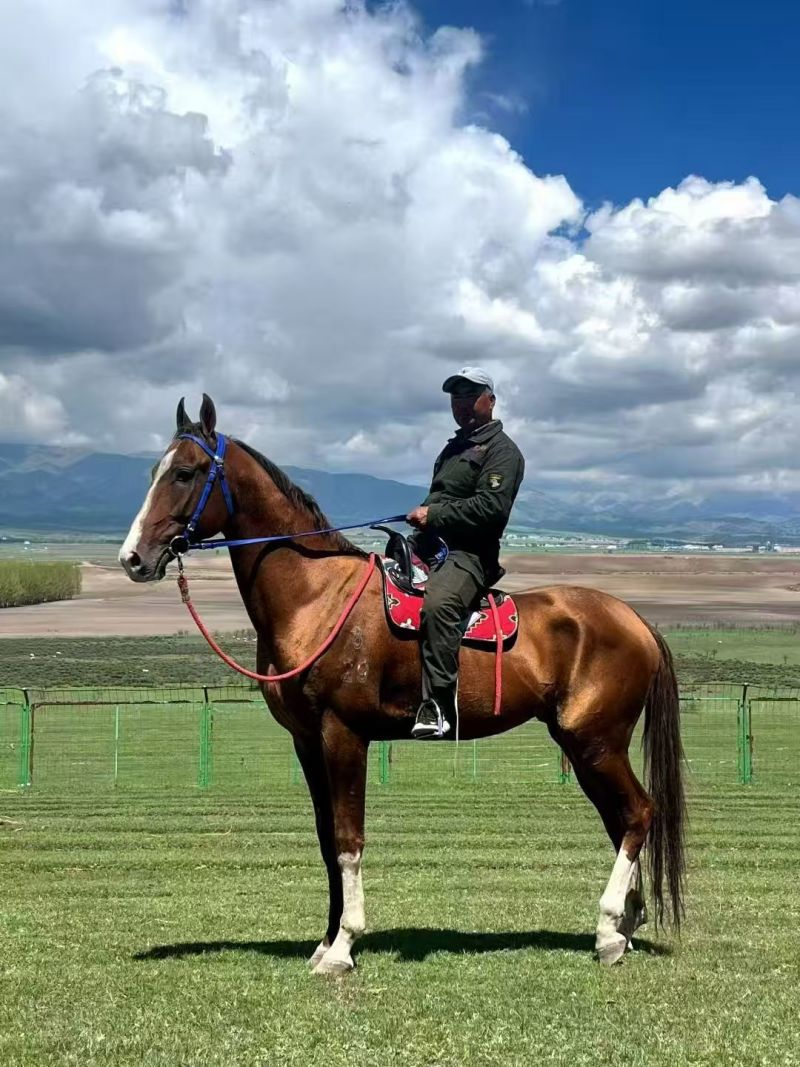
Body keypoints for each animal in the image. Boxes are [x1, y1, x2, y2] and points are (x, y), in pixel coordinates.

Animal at [119, 394, 685, 974]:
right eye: (154, 470)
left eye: (185, 472)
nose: (133, 558)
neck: (315, 598)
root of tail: (635, 620)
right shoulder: (306, 741)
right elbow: (325, 838)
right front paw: (324, 941)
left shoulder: (343, 734)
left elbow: (348, 838)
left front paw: (343, 947)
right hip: (584, 745)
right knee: (622, 822)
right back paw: (627, 926)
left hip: (595, 741)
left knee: (638, 814)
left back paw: (608, 931)